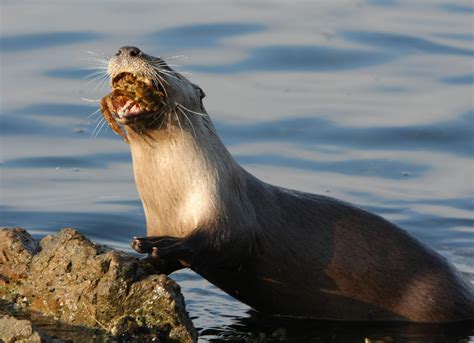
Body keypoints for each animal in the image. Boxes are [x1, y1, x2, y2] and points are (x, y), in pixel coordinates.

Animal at [100, 47, 474, 324]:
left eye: (167, 67)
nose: (129, 49)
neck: (175, 198)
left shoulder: (230, 212)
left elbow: (223, 243)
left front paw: (162, 245)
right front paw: (146, 254)